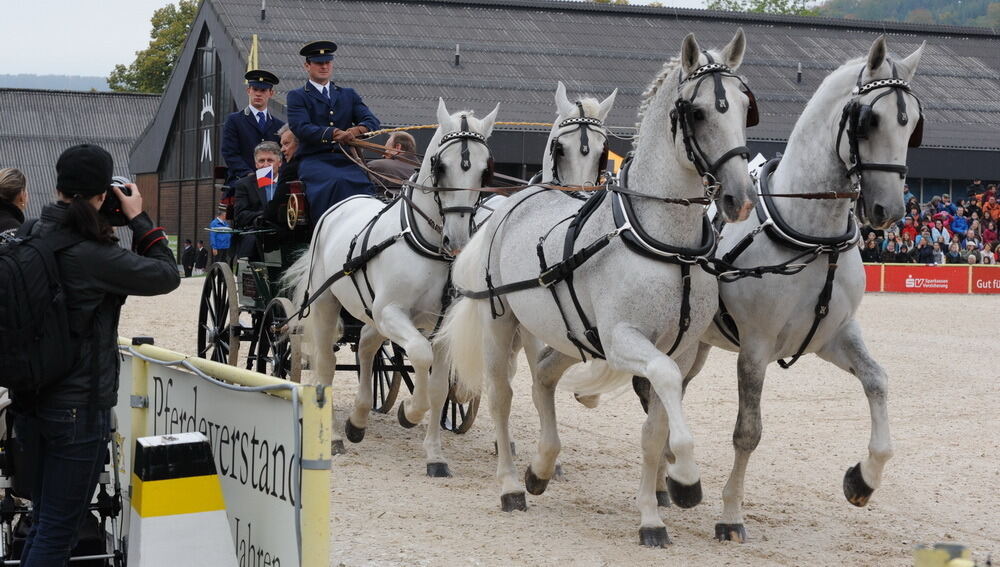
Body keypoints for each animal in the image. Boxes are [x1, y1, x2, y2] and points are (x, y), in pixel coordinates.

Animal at [442, 31, 752, 544]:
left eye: (747, 107)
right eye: (698, 112)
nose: (740, 198)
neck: (669, 244)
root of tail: (510, 202)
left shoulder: (682, 347)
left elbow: (654, 431)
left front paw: (652, 515)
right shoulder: (624, 339)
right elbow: (665, 386)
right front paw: (686, 480)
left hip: (568, 332)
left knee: (544, 378)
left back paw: (542, 468)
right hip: (501, 321)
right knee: (502, 396)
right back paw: (511, 486)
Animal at [680, 35, 920, 540]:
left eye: (911, 123)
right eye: (870, 120)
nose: (889, 210)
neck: (813, 235)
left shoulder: (833, 335)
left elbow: (878, 382)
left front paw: (862, 479)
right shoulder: (755, 348)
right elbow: (747, 432)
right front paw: (731, 514)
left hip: (698, 345)